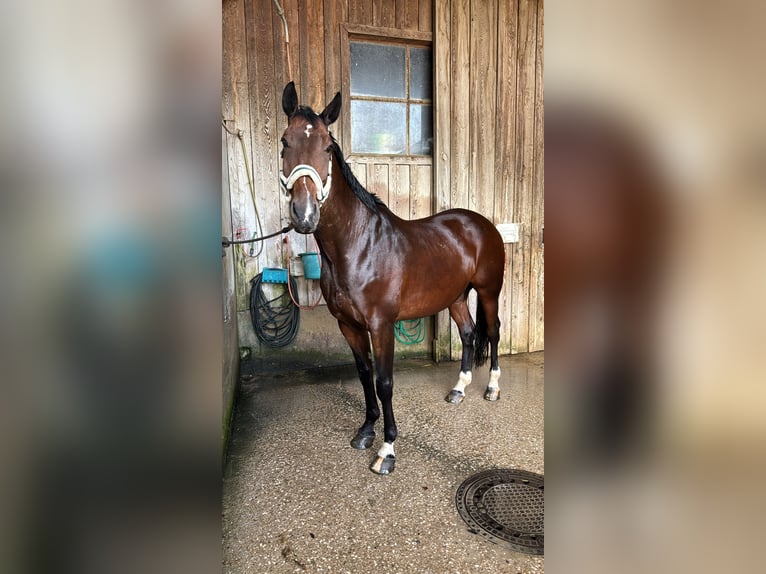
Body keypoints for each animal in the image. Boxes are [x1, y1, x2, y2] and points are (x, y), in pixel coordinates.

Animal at [279, 81, 505, 474]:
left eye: (327, 146)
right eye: (284, 141)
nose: (304, 214)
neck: (358, 246)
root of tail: (481, 223)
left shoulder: (381, 324)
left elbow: (384, 381)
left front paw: (386, 449)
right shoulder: (349, 325)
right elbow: (364, 374)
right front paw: (366, 431)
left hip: (489, 291)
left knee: (492, 332)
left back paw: (491, 388)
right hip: (456, 296)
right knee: (467, 333)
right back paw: (459, 390)